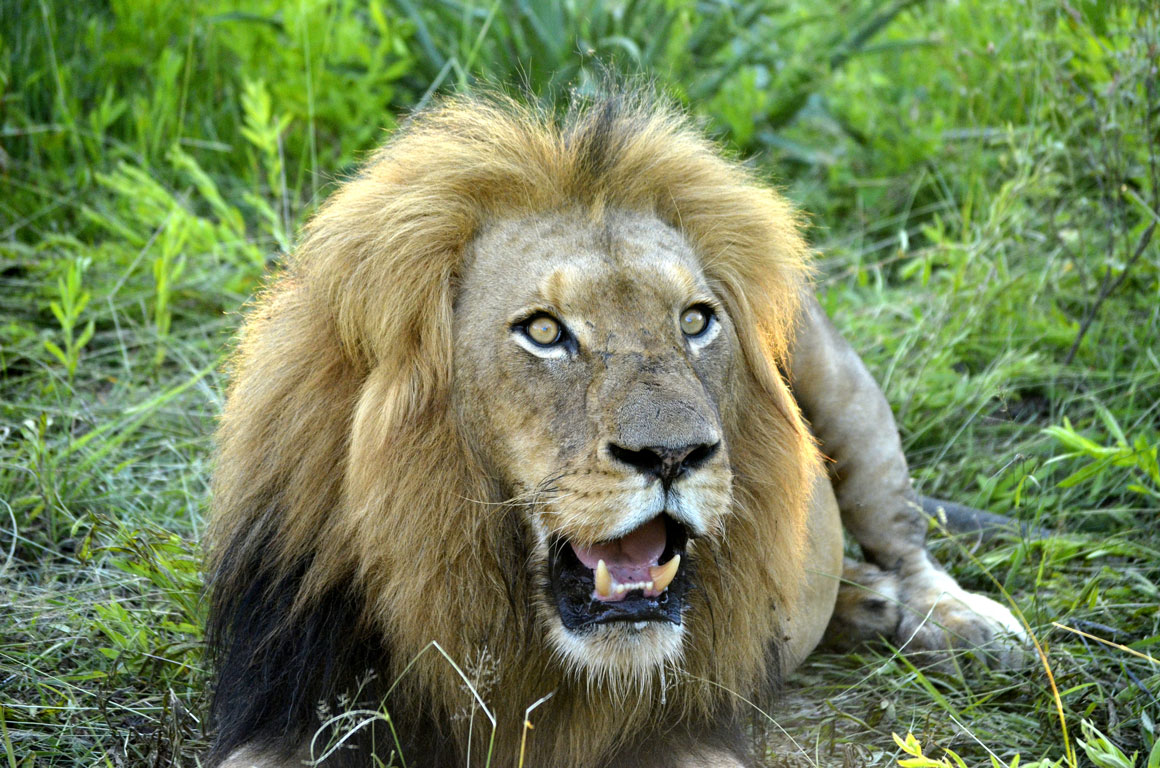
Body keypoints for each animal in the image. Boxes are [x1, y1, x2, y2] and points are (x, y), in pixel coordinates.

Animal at [206, 92, 1026, 768]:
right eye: (544, 331)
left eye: (695, 321)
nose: (673, 454)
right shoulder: (292, 703)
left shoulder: (681, 728)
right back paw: (865, 604)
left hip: (845, 385)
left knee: (902, 530)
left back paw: (961, 624)